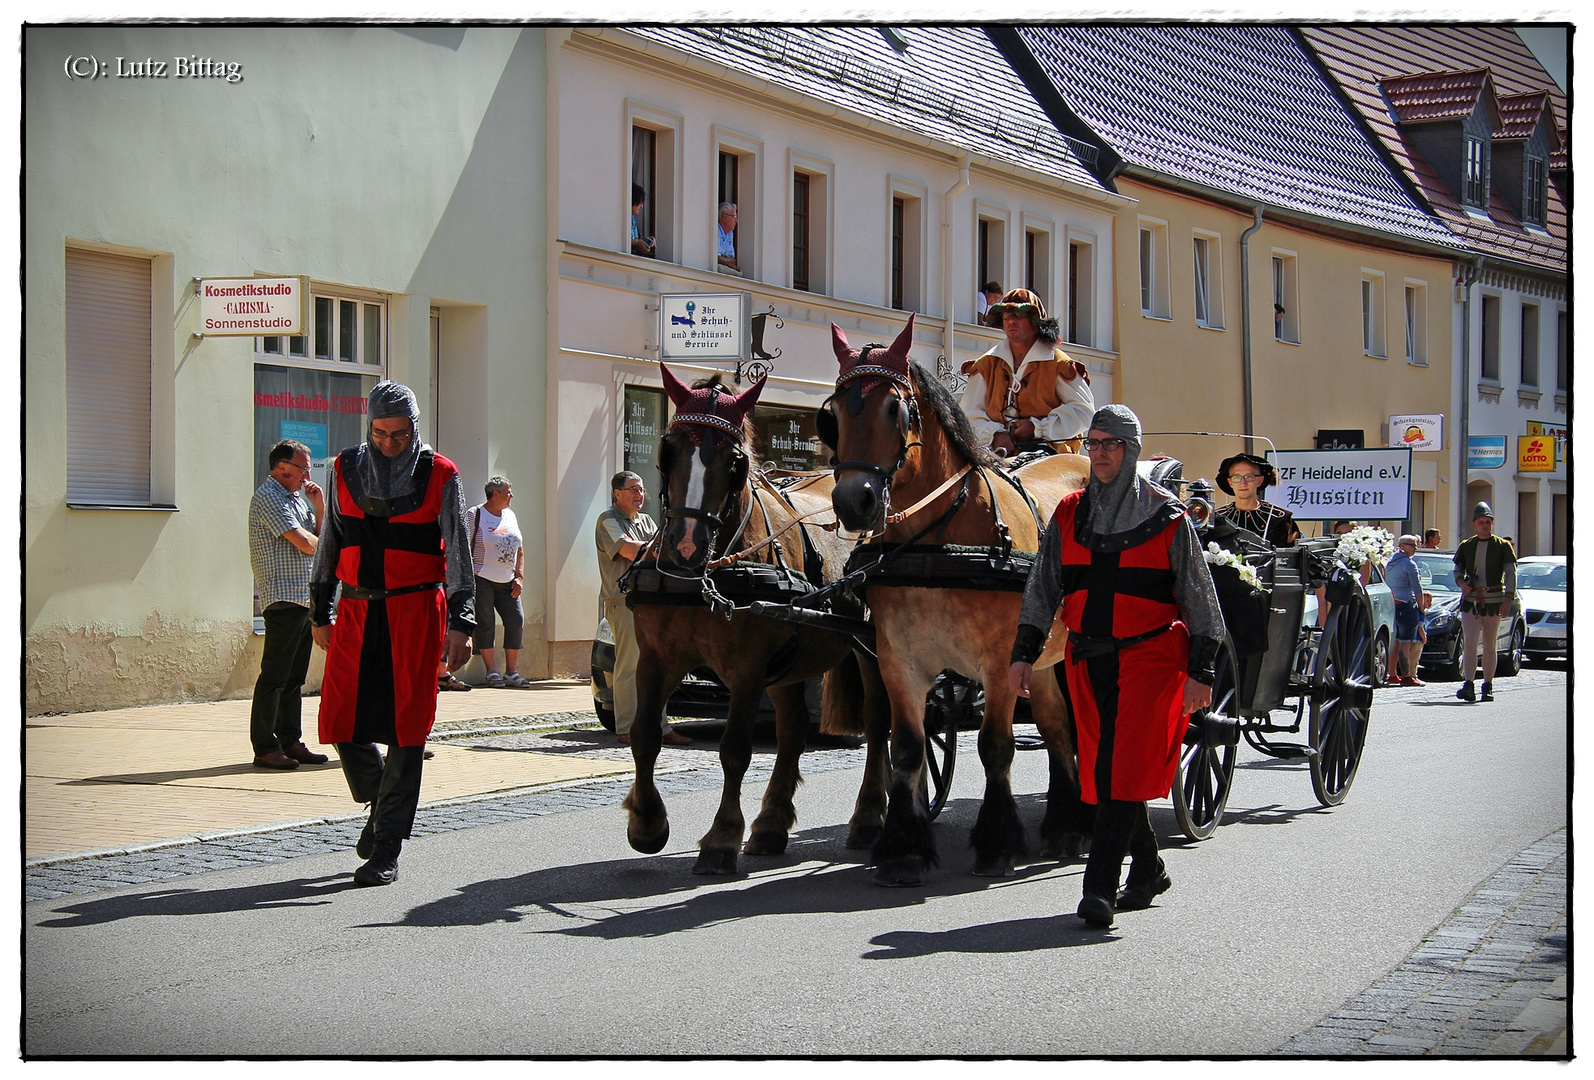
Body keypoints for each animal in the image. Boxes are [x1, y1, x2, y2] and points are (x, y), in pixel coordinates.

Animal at [621, 367, 899, 872]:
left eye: (734, 462)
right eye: (669, 450)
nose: (685, 547)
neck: (706, 575)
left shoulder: (747, 669)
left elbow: (734, 750)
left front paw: (721, 838)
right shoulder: (655, 658)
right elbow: (644, 736)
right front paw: (647, 824)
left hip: (869, 649)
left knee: (876, 722)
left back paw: (869, 816)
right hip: (791, 663)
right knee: (792, 732)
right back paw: (771, 824)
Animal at [816, 315, 1090, 885]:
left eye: (894, 408)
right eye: (833, 414)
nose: (854, 502)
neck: (938, 542)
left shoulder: (1000, 660)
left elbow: (995, 747)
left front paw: (997, 841)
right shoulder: (899, 660)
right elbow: (907, 748)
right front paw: (903, 847)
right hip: (1044, 658)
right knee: (1056, 727)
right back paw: (1065, 825)